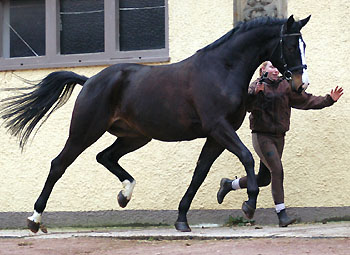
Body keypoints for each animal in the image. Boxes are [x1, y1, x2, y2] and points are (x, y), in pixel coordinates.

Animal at [1, 14, 310, 232]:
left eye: (304, 44)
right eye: (291, 45)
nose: (301, 83)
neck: (221, 70)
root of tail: (90, 80)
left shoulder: (215, 136)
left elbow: (199, 173)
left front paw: (182, 219)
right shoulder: (219, 128)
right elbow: (246, 156)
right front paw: (248, 204)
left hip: (136, 136)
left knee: (105, 156)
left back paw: (124, 195)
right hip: (84, 132)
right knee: (59, 165)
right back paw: (34, 219)